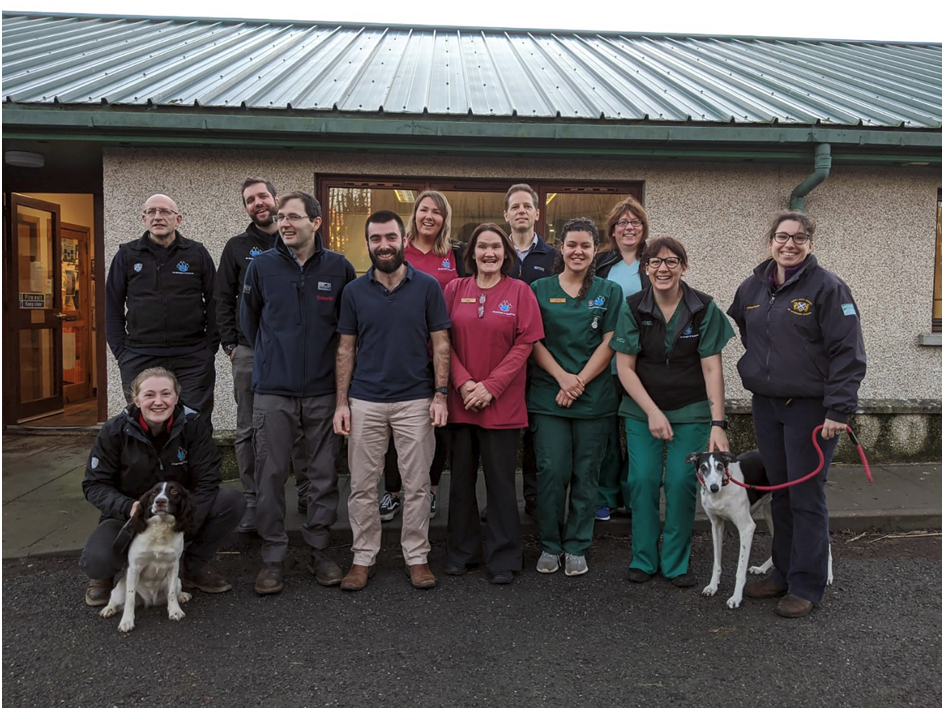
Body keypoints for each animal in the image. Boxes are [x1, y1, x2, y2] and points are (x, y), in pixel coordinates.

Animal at [100, 481, 195, 632]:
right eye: (154, 493)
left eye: (174, 491)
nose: (160, 501)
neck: (161, 528)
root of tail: (150, 600)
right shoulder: (134, 567)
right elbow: (130, 597)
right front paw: (126, 621)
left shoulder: (174, 565)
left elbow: (172, 592)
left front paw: (175, 611)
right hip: (119, 590)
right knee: (115, 600)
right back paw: (108, 609)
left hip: (177, 582)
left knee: (175, 590)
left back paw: (182, 595)